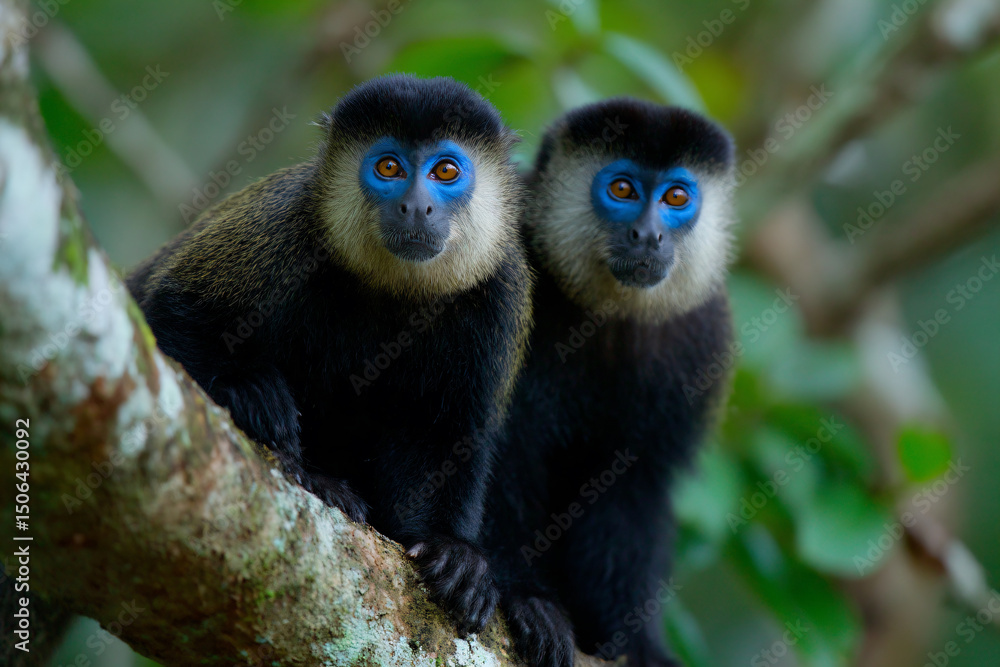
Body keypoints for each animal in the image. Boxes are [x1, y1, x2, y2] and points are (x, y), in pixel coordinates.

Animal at [127, 74, 532, 635]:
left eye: (446, 171)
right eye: (390, 168)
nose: (416, 206)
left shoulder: (502, 288)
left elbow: (446, 435)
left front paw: (457, 556)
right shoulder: (287, 222)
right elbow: (169, 310)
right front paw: (247, 390)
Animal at [482, 99, 736, 667]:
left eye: (677, 197)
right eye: (622, 189)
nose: (649, 234)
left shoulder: (701, 339)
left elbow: (629, 487)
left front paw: (636, 641)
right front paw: (526, 598)